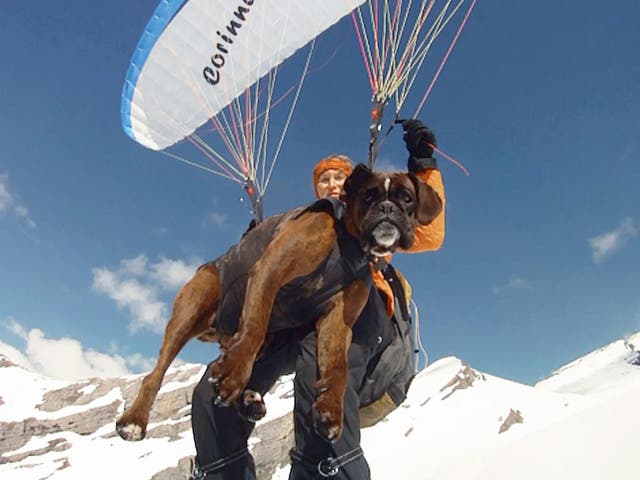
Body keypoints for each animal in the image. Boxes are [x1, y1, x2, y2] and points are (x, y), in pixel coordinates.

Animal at [116, 165, 440, 442]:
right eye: (368, 196)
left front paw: (331, 409)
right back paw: (134, 420)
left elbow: (338, 367)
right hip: (192, 307)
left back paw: (251, 398)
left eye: (407, 198)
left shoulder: (338, 321)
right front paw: (233, 374)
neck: (347, 244)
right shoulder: (270, 270)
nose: (387, 208)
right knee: (155, 374)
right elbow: (255, 326)